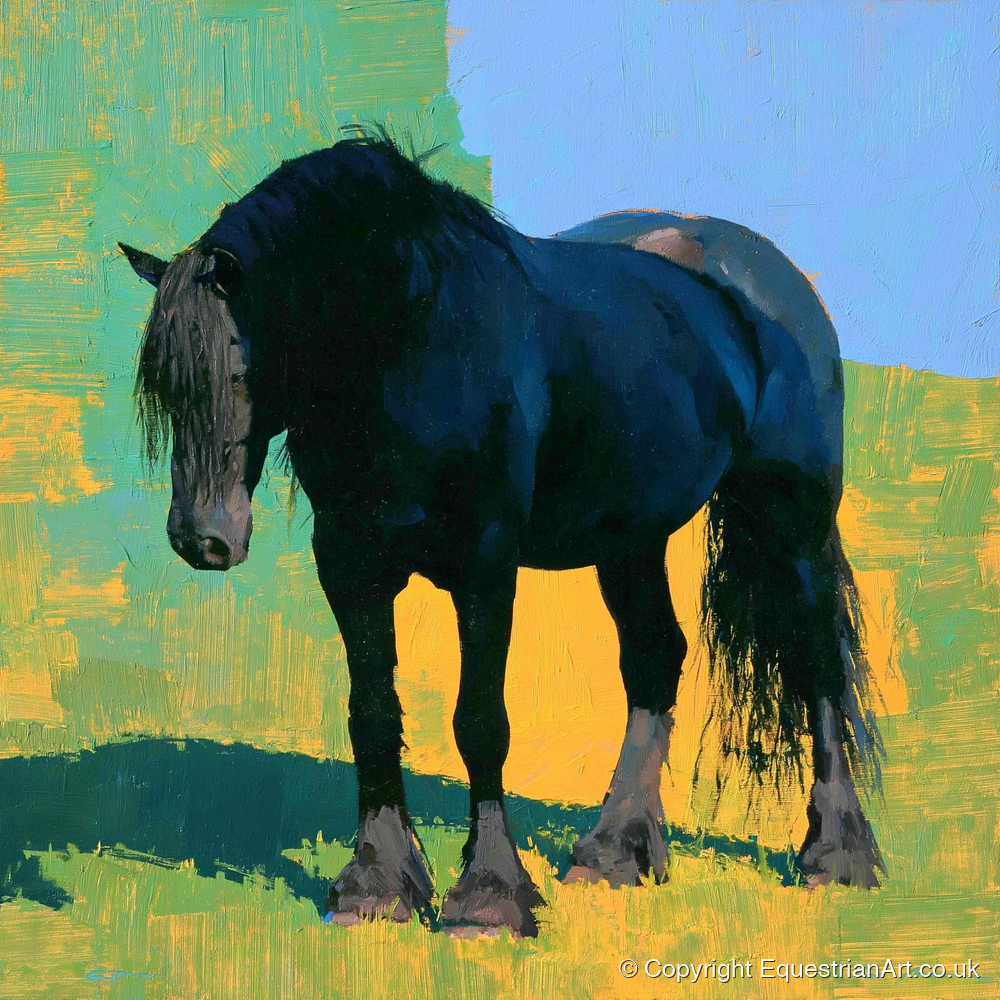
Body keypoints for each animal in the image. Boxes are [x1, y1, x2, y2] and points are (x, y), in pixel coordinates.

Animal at [121, 135, 884, 937]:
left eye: (243, 371)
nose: (202, 538)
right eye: (163, 385)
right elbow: (373, 713)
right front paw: (377, 884)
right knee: (655, 658)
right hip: (630, 538)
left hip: (791, 519)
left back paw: (837, 855)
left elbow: (481, 721)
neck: (415, 339)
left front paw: (488, 895)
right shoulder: (351, 562)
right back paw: (615, 851)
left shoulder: (485, 565)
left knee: (817, 662)